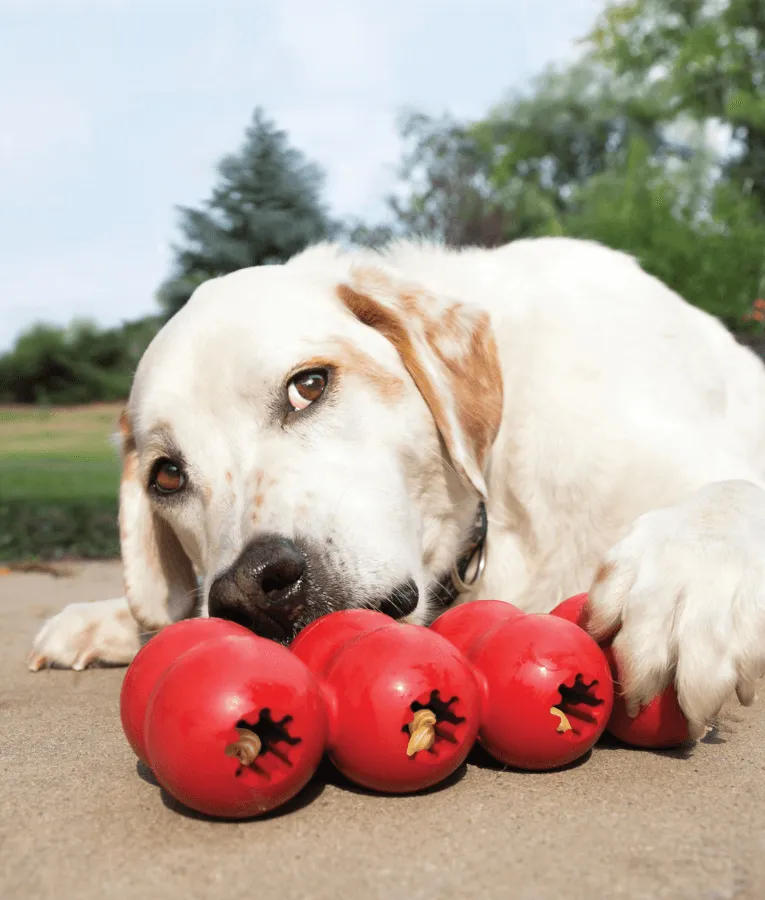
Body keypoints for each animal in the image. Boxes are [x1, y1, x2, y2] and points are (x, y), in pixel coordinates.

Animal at [26, 237, 764, 740]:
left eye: (308, 384)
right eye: (168, 475)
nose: (249, 591)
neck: (495, 505)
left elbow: (726, 495)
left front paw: (684, 583)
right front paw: (113, 619)